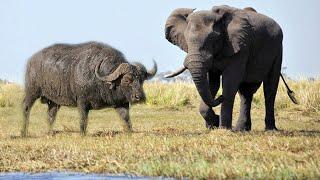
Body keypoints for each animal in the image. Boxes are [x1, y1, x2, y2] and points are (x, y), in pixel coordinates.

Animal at [165, 4, 298, 130]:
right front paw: (214, 123)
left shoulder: (241, 46)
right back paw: (241, 129)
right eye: (186, 39)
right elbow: (212, 84)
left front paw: (223, 128)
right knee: (246, 92)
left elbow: (230, 82)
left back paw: (270, 129)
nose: (220, 97)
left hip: (277, 49)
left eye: (213, 39)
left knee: (270, 87)